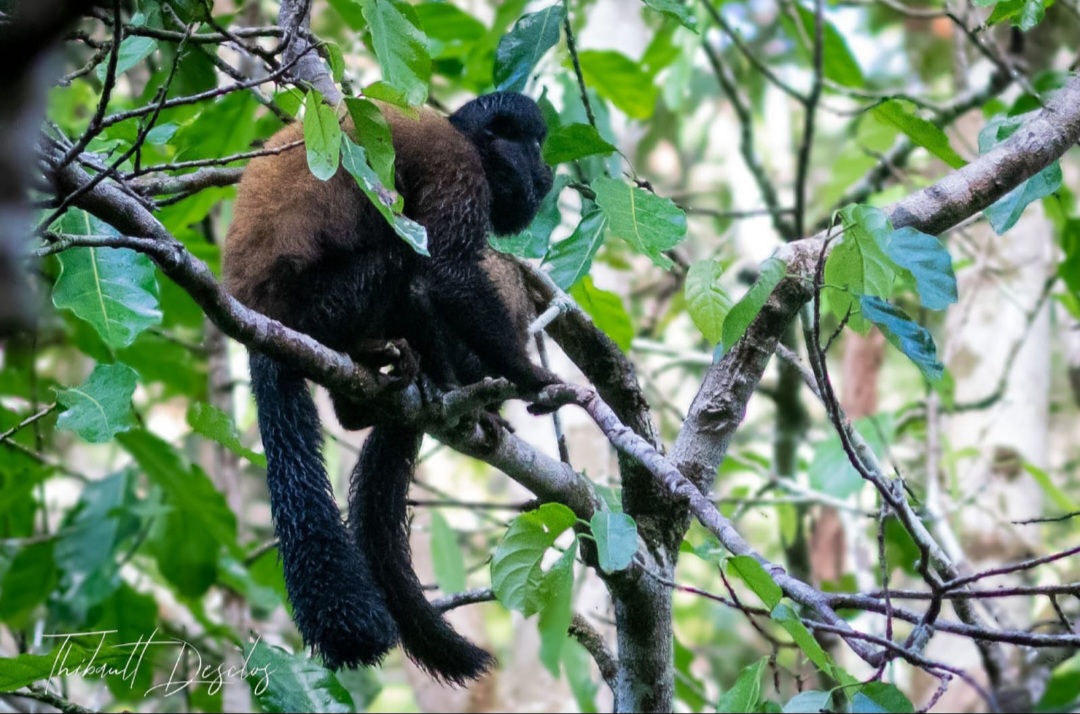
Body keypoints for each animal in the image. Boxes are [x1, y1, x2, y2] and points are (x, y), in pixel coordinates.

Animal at [222, 92, 558, 681]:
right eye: (534, 144)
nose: (546, 174)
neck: (470, 140)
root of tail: (261, 321)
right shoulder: (459, 172)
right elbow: (445, 273)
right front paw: (528, 376)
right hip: (320, 308)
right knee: (404, 259)